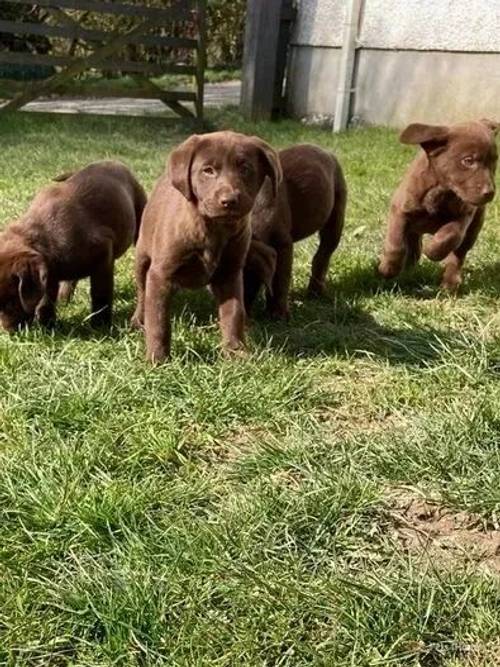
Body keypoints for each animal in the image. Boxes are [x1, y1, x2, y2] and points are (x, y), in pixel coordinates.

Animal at [132, 129, 282, 362]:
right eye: (208, 171)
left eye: (245, 169)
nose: (229, 201)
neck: (214, 229)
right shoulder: (161, 274)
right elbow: (158, 319)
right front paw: (158, 358)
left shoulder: (230, 274)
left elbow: (233, 313)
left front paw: (235, 351)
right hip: (142, 257)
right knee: (141, 292)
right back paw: (138, 321)